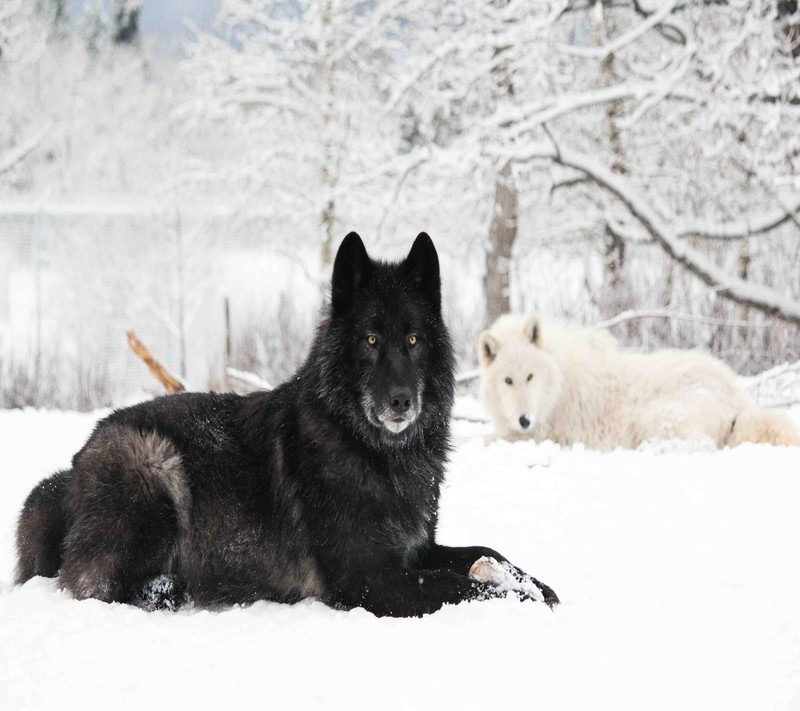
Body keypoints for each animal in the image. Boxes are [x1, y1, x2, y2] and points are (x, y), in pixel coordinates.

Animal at [15, 234, 560, 616]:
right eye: (369, 340)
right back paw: (173, 588)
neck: (372, 452)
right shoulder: (369, 580)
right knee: (96, 587)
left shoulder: (415, 551)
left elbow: (485, 551)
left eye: (412, 340)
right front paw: (519, 598)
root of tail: (72, 469)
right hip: (154, 463)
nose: (401, 401)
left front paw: (538, 585)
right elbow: (460, 584)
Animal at [478, 316, 796, 450]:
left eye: (530, 376)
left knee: (702, 446)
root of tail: (739, 400)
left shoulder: (542, 435)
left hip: (654, 417)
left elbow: (477, 439)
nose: (524, 420)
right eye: (508, 380)